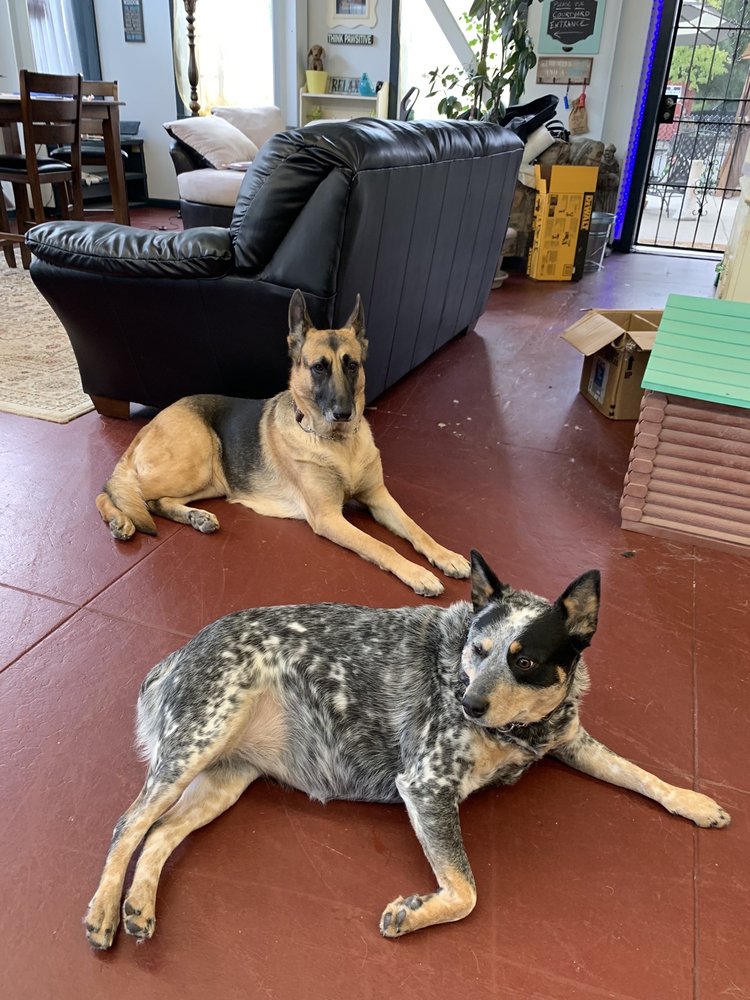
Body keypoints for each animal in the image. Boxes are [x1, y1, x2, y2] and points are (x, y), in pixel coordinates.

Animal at [84, 552, 730, 949]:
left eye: (524, 660)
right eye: (476, 649)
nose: (466, 702)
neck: (520, 735)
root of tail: (178, 654)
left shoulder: (570, 740)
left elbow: (641, 774)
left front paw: (694, 802)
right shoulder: (426, 785)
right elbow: (465, 891)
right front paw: (412, 913)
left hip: (225, 777)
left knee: (161, 834)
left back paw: (139, 906)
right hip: (199, 740)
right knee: (127, 824)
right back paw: (104, 910)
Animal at [95, 290, 469, 596]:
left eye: (352, 365)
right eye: (318, 368)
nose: (343, 413)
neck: (337, 444)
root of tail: (157, 418)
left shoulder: (379, 498)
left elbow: (416, 529)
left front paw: (446, 555)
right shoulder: (328, 517)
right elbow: (381, 546)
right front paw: (416, 573)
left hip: (209, 480)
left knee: (155, 501)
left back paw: (195, 518)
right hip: (192, 464)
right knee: (114, 488)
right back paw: (121, 521)